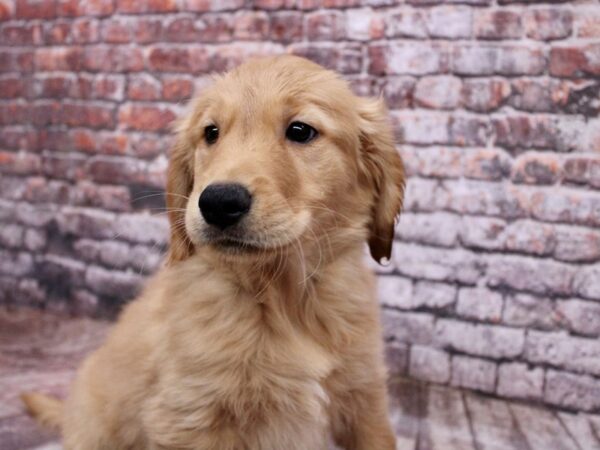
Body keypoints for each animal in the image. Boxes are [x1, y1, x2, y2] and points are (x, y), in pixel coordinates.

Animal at [24, 54, 408, 448]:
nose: (219, 202)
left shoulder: (365, 402)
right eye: (211, 133)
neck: (283, 297)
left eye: (301, 131)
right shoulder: (188, 414)